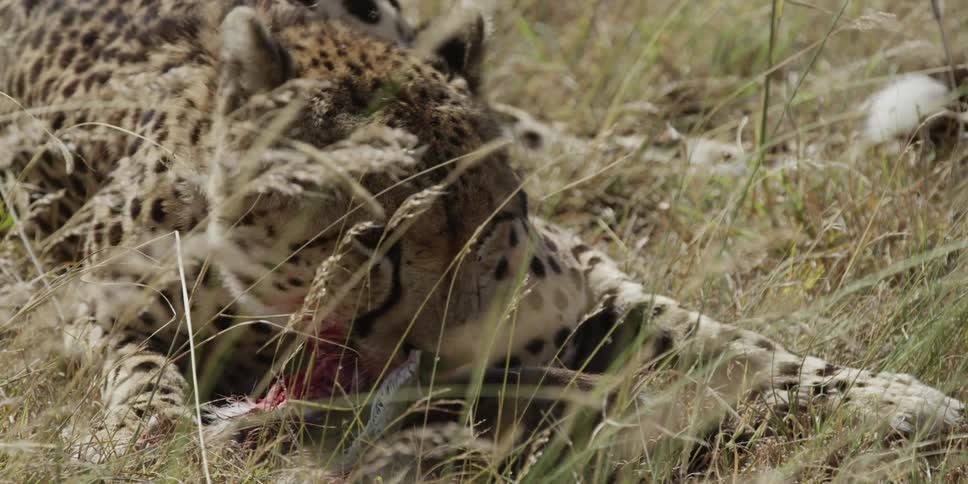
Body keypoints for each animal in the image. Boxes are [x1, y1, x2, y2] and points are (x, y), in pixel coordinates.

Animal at [0, 0, 963, 471]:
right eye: (376, 236)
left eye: (496, 225)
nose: (451, 345)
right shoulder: (85, 304)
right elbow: (141, 371)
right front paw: (147, 431)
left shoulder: (582, 282)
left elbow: (725, 338)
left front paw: (892, 398)